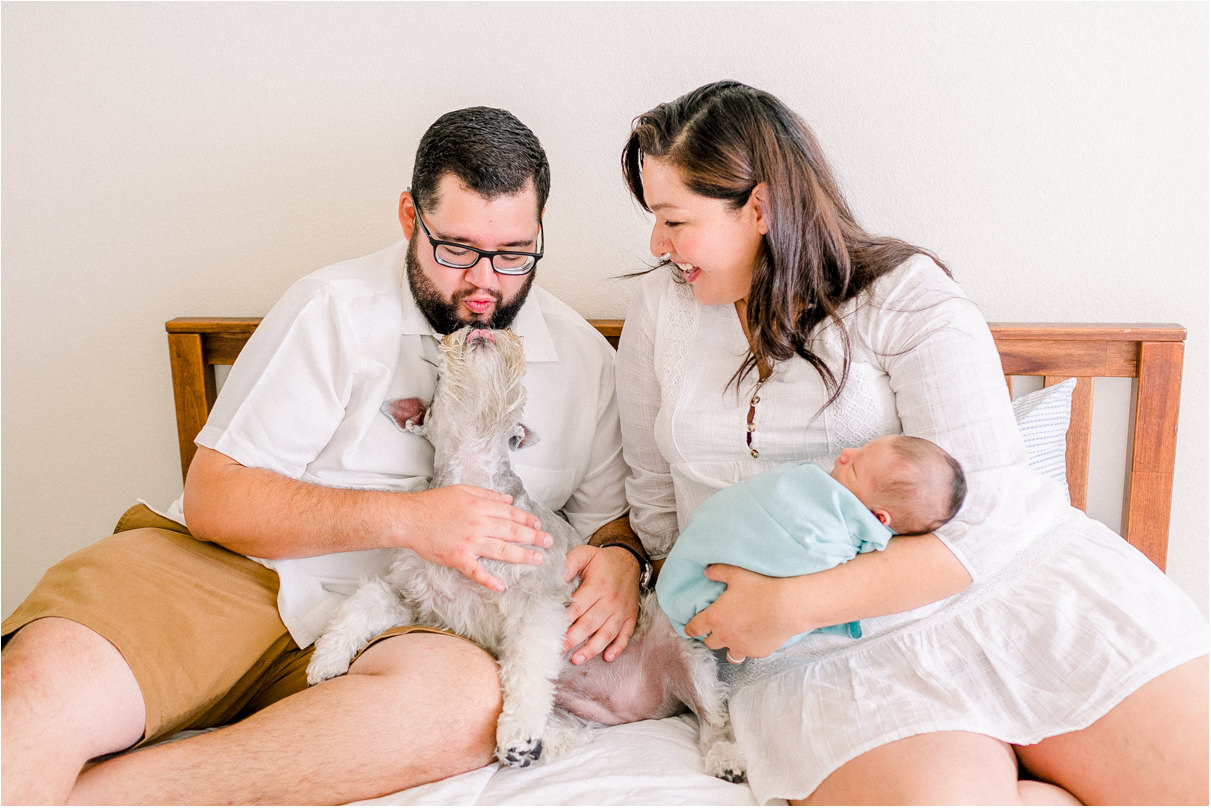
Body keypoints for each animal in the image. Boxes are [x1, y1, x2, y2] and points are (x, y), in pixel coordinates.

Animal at [307, 324, 741, 780]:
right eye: (439, 379)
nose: (480, 328)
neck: (475, 483)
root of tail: (644, 708)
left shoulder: (535, 604)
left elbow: (528, 668)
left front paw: (516, 733)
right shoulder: (415, 593)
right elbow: (365, 602)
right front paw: (326, 660)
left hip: (685, 651)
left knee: (714, 716)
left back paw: (724, 757)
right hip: (575, 712)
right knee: (572, 734)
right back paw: (542, 744)